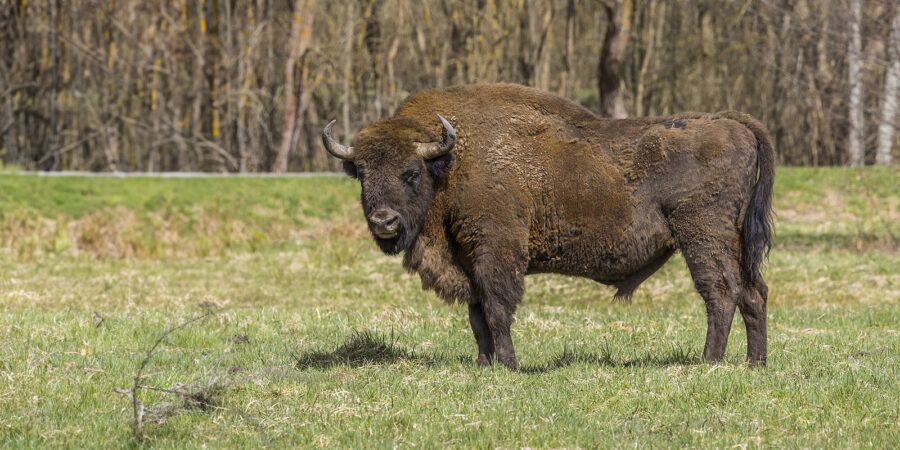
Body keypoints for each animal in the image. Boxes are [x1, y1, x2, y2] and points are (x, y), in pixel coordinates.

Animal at [322, 83, 772, 370]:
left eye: (411, 172)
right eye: (361, 173)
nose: (384, 221)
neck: (452, 161)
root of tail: (732, 122)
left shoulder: (495, 251)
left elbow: (497, 309)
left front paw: (510, 366)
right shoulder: (467, 259)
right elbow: (477, 315)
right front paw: (483, 366)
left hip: (702, 237)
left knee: (721, 292)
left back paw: (709, 362)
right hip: (733, 239)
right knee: (753, 292)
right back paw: (755, 364)